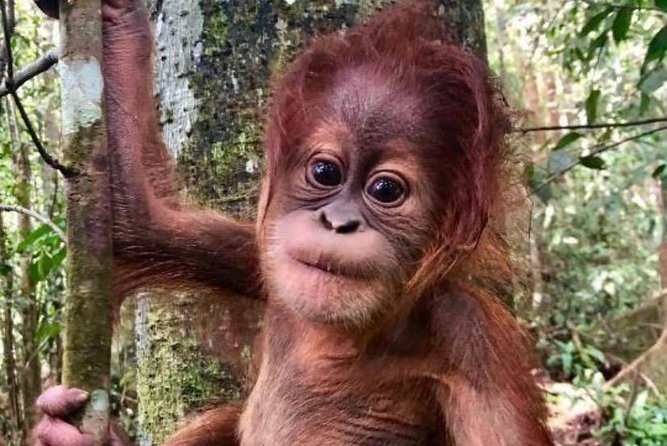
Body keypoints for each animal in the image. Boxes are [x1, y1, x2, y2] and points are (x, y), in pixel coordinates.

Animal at [33, 0, 553, 445]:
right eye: (325, 172)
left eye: (385, 191)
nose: (338, 222)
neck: (337, 337)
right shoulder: (258, 251)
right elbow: (134, 219)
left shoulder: (473, 340)